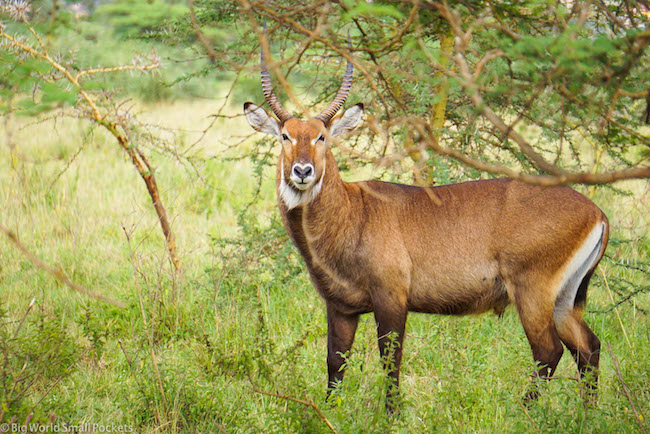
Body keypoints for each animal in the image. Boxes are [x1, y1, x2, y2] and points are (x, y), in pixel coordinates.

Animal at [243, 41, 608, 414]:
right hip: (564, 300)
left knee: (549, 351)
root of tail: (596, 212)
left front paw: (391, 416)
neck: (352, 211)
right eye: (285, 135)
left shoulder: (391, 297)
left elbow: (390, 360)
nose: (303, 171)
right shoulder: (341, 307)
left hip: (533, 292)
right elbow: (335, 361)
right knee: (588, 347)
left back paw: (525, 413)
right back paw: (588, 414)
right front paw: (329, 412)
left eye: (322, 137)